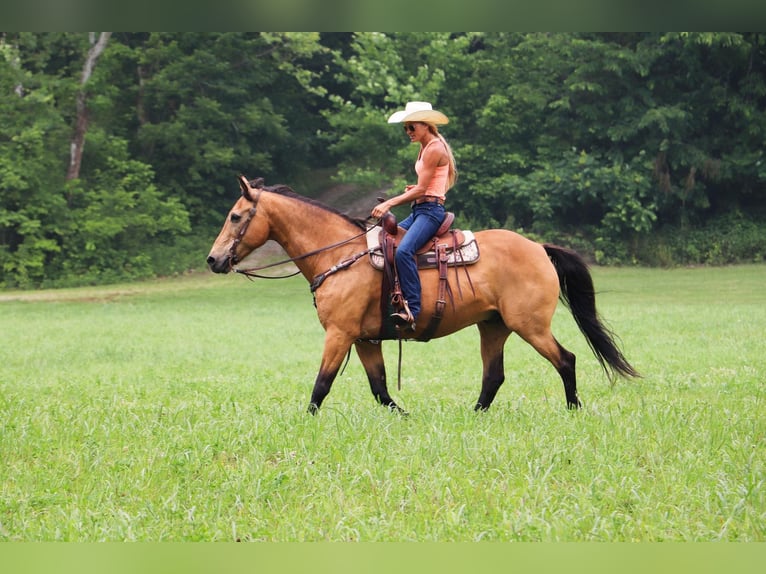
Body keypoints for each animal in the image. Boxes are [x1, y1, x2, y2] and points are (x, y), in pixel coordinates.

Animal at [207, 176, 640, 414]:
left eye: (235, 216)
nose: (213, 259)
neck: (339, 254)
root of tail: (538, 247)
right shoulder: (364, 340)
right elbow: (380, 390)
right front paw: (405, 417)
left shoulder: (339, 334)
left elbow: (321, 385)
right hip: (493, 326)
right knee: (493, 376)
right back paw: (474, 416)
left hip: (529, 325)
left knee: (565, 360)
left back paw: (573, 409)